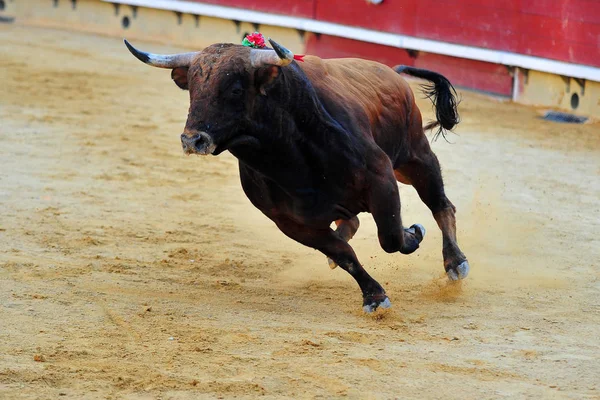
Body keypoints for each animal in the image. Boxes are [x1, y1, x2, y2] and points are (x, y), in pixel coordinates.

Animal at [125, 37, 468, 312]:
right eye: (193, 89)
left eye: (235, 89)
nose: (192, 140)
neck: (288, 155)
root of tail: (392, 73)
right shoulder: (292, 223)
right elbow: (344, 254)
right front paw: (373, 296)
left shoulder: (381, 177)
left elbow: (391, 237)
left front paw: (413, 234)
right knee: (352, 224)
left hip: (415, 157)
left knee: (441, 205)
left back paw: (455, 262)